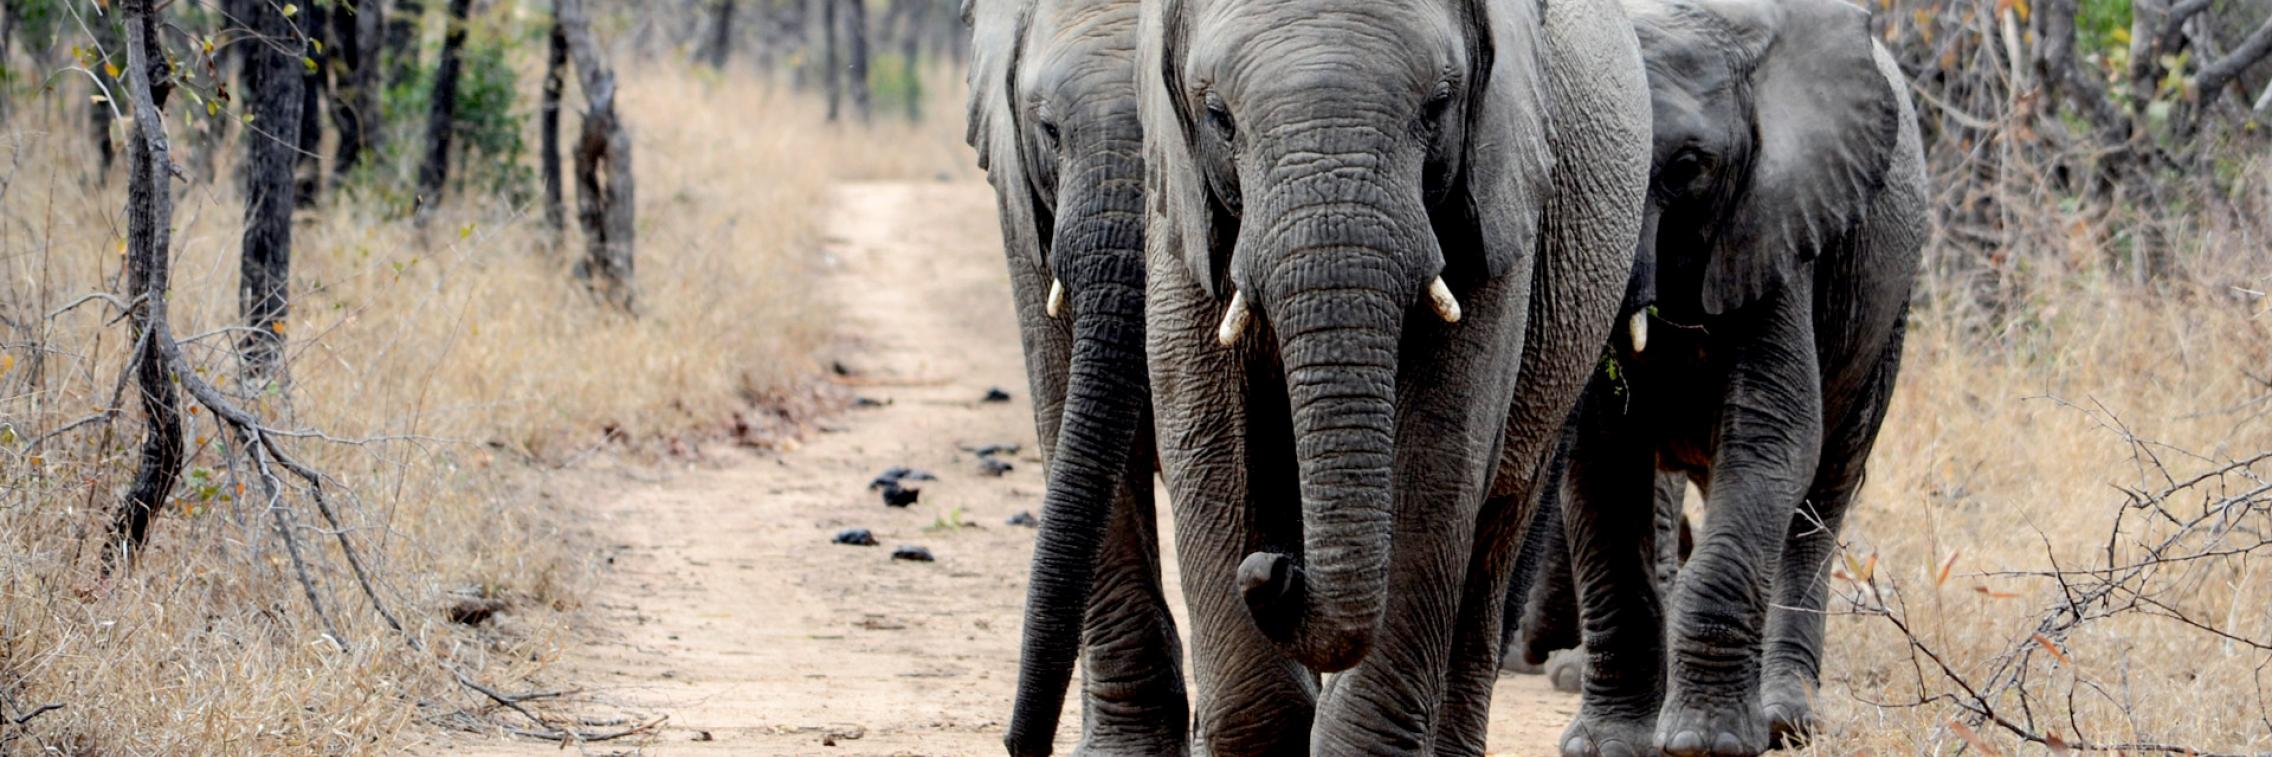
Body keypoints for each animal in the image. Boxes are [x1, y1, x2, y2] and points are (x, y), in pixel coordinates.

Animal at [1137, 0, 1655, 752]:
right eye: (1217, 116)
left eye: (1438, 105)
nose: (1272, 571)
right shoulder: (1181, 210)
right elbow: (1210, 442)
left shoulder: (1497, 193)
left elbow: (1436, 451)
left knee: (1495, 534)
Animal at [1526, 0, 1929, 753]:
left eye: (1689, 166)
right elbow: (1600, 458)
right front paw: (1606, 744)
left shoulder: (1780, 222)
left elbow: (1774, 437)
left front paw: (1702, 742)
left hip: (1888, 310)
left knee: (1822, 492)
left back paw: (1786, 719)